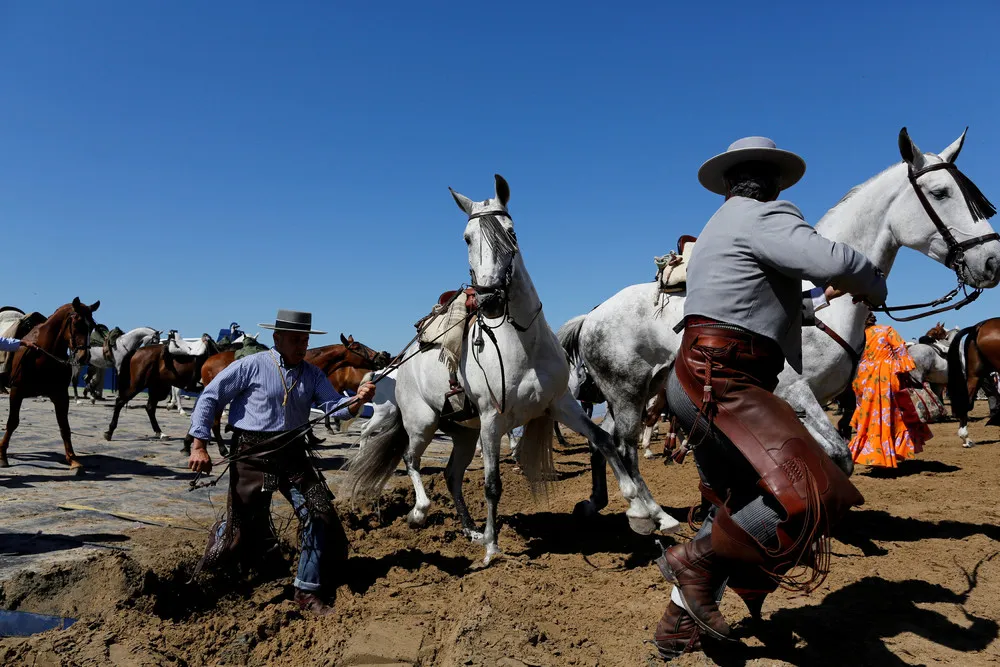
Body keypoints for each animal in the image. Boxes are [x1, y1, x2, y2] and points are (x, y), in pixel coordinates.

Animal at [0, 298, 100, 470]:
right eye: (76, 323)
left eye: (92, 325)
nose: (84, 357)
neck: (41, 354)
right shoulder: (16, 391)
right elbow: (12, 422)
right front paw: (3, 456)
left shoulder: (60, 395)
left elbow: (64, 426)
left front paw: (73, 459)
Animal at [346, 176, 680, 564]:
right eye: (466, 237)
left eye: (511, 232)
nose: (489, 299)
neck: (523, 346)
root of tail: (400, 365)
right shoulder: (493, 419)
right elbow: (493, 484)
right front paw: (493, 548)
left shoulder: (560, 405)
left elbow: (604, 441)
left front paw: (645, 511)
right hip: (423, 422)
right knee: (411, 459)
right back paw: (421, 514)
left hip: (464, 433)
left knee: (451, 475)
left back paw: (471, 530)